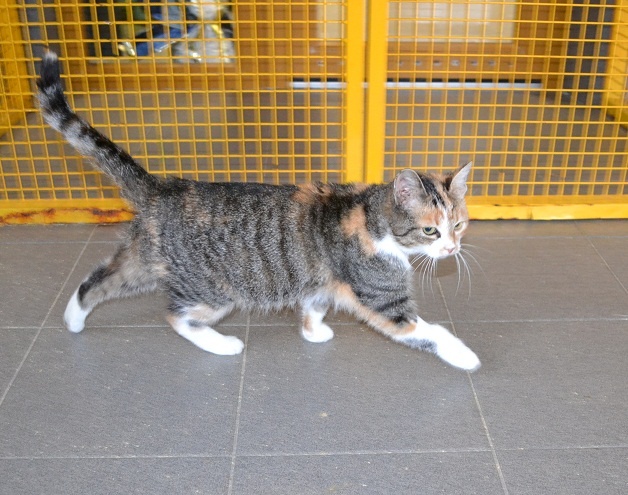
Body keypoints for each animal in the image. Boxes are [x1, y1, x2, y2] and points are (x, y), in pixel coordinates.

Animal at [37, 51, 480, 371]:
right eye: (430, 231)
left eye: (459, 225)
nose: (452, 249)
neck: (375, 221)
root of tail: (163, 187)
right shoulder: (382, 299)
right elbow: (430, 332)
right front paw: (465, 356)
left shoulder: (321, 281)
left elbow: (314, 305)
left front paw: (313, 333)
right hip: (212, 289)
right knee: (177, 316)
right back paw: (223, 345)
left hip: (145, 261)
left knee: (97, 282)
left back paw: (73, 320)